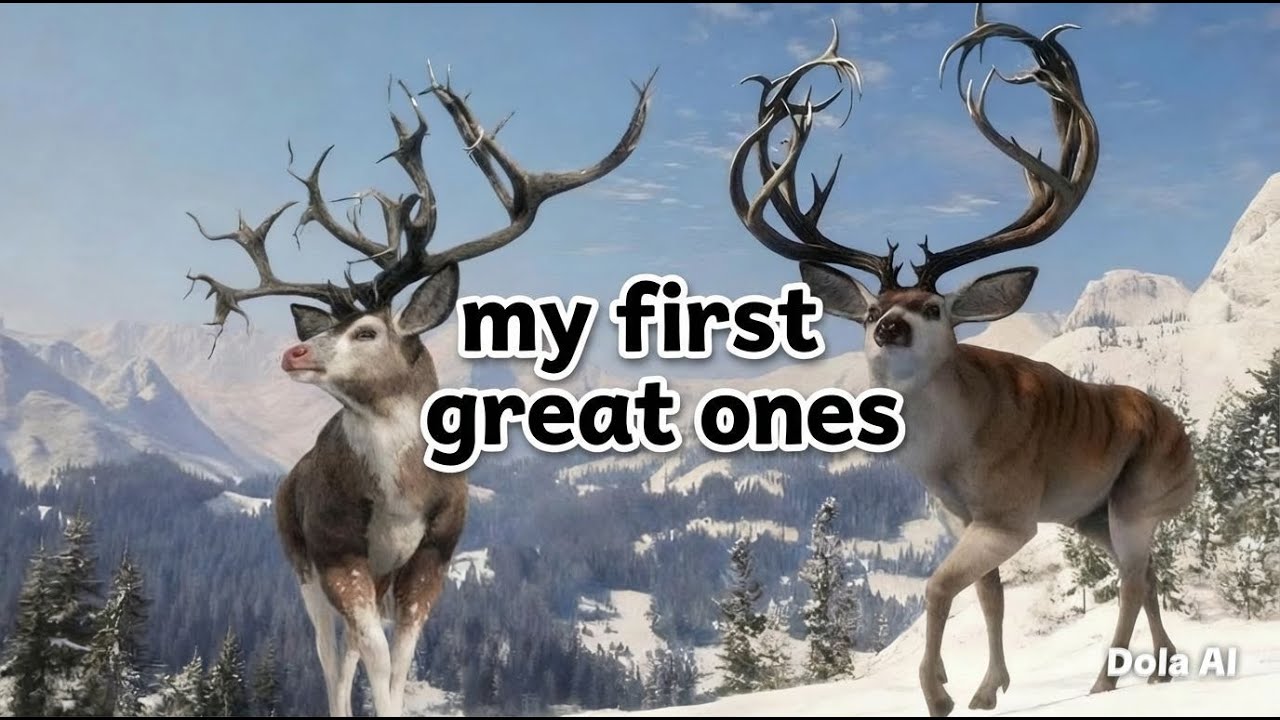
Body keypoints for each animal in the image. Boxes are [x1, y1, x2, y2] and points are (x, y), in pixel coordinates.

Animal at [185, 65, 653, 716]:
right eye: (323, 328)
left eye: (365, 330)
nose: (293, 351)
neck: (402, 494)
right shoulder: (336, 547)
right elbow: (375, 657)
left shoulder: (435, 552)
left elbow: (400, 660)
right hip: (298, 555)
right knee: (330, 653)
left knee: (348, 652)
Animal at [728, 6, 1197, 717]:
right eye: (871, 310)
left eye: (934, 308)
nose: (889, 326)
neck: (947, 455)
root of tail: (1189, 446)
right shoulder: (959, 518)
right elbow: (990, 597)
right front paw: (984, 689)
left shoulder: (1009, 512)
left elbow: (939, 588)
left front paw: (938, 693)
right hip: (1092, 514)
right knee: (1144, 572)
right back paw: (1162, 665)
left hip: (1138, 495)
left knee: (1135, 579)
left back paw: (1104, 681)